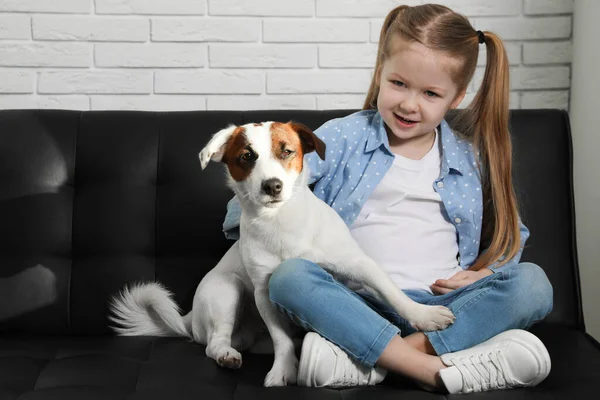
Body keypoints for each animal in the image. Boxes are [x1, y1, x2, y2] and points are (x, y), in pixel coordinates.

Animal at [108, 121, 454, 388]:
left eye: (287, 151)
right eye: (246, 157)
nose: (272, 185)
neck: (280, 222)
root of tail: (190, 317)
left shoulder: (358, 265)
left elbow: (393, 294)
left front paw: (424, 316)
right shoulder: (264, 291)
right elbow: (281, 340)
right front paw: (283, 370)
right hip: (226, 290)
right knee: (215, 342)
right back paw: (226, 355)